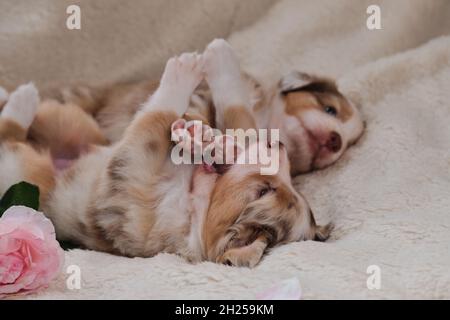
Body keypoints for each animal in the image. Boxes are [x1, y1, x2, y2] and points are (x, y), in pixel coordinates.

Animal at [0, 53, 330, 268]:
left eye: (265, 190)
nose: (279, 143)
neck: (194, 196)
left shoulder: (134, 162)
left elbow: (157, 113)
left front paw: (186, 68)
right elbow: (235, 119)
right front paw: (204, 136)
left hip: (20, 162)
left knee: (10, 130)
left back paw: (23, 98)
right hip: (76, 123)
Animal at [39, 39, 366, 176]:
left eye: (345, 148)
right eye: (330, 110)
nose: (335, 141)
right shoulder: (200, 96)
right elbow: (195, 112)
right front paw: (200, 134)